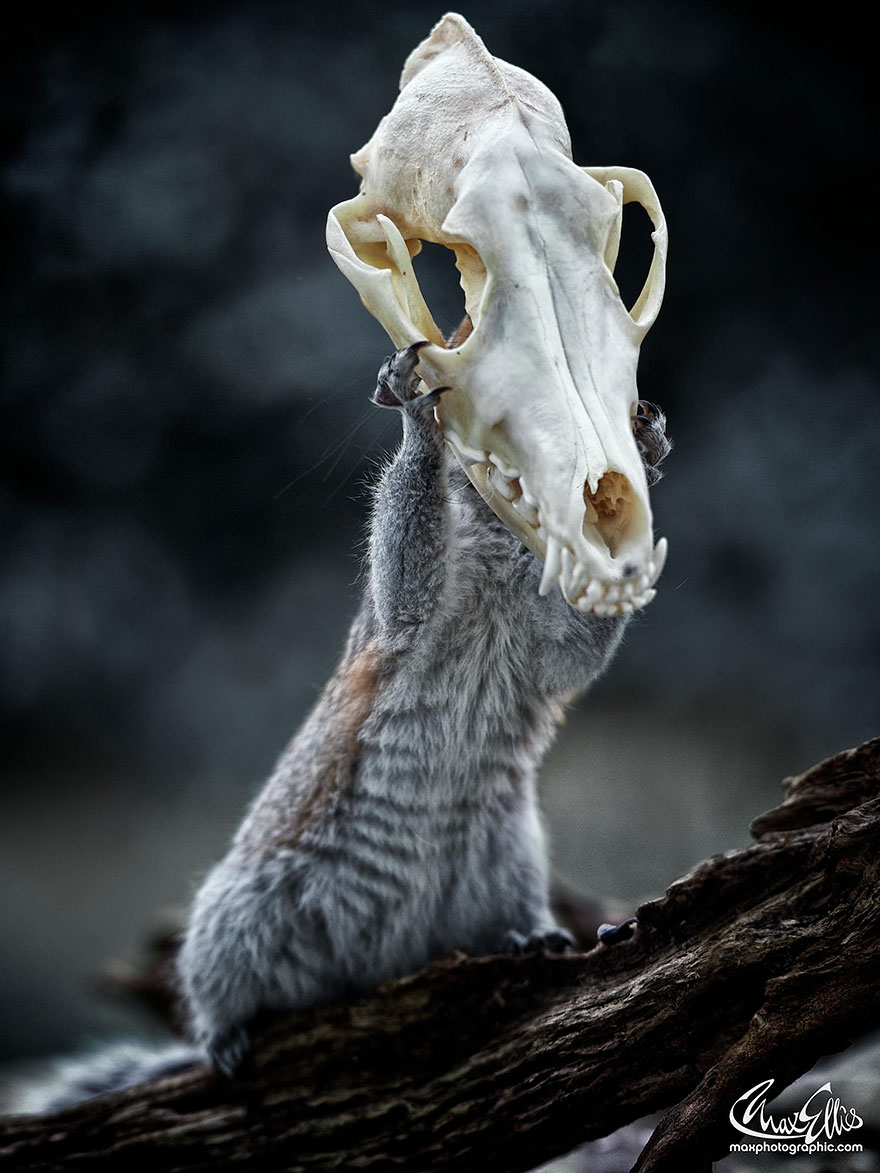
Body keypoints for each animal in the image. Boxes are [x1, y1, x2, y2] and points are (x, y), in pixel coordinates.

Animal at [15, 341, 670, 1111]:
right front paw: (416, 417)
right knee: (217, 989)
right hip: (238, 916)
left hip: (506, 861)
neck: (503, 552)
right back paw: (224, 1035)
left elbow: (573, 651)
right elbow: (408, 564)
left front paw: (639, 490)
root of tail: (378, 964)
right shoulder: (405, 622)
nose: (638, 426)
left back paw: (528, 937)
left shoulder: (542, 647)